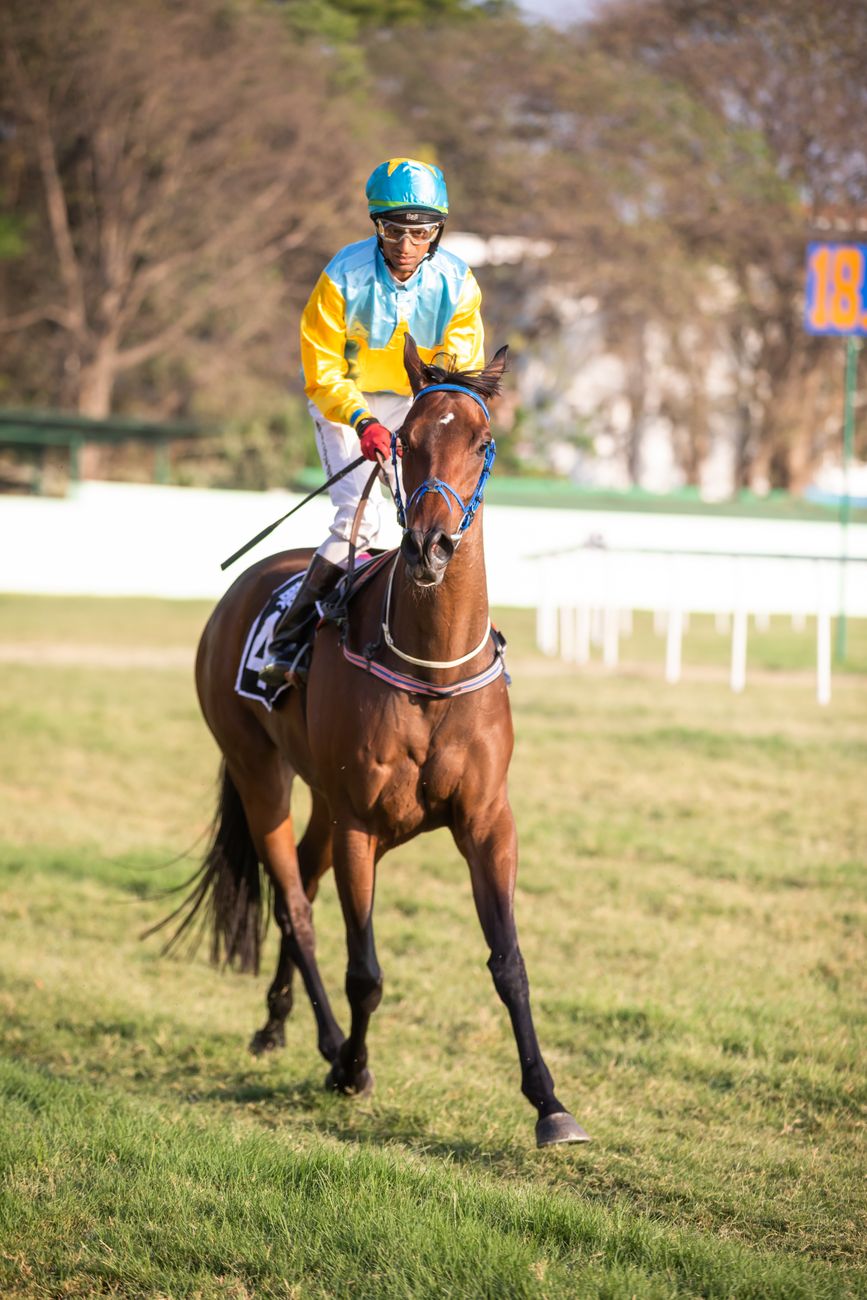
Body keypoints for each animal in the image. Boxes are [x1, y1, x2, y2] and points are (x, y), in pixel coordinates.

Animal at [174, 334, 589, 1148]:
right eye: (403, 442)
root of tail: (241, 589)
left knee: (300, 885)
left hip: (323, 801)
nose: (430, 546)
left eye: (482, 440)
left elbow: (509, 962)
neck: (430, 666)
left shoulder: (487, 821)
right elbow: (364, 970)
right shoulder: (363, 824)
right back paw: (329, 1043)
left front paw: (549, 1104)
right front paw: (354, 1070)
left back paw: (278, 1025)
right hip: (260, 773)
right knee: (295, 906)